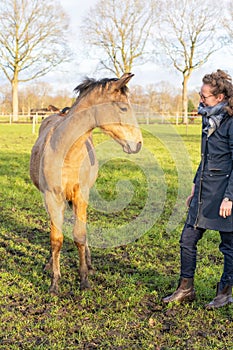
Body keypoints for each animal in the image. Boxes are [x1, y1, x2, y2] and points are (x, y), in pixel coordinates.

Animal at [29, 72, 142, 294]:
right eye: (123, 108)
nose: (138, 144)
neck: (66, 151)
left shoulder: (81, 195)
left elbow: (79, 236)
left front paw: (84, 279)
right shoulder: (52, 197)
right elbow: (56, 239)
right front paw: (54, 282)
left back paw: (89, 263)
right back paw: (49, 263)